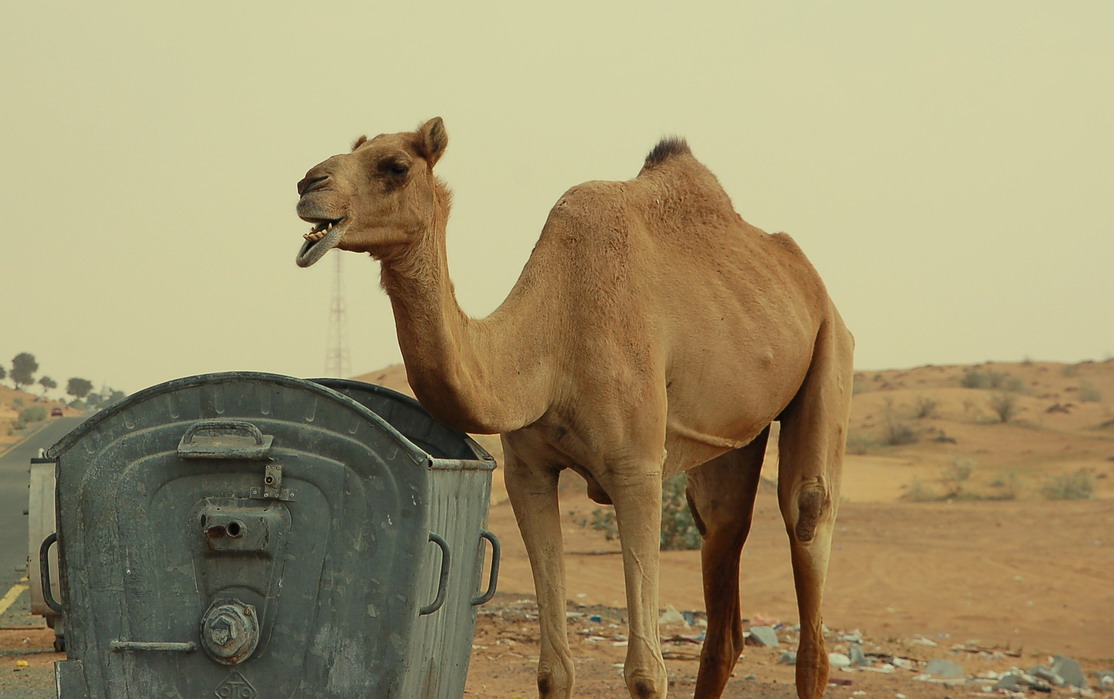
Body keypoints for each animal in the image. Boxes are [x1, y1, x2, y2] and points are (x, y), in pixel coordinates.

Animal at [294, 117, 851, 695]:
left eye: (396, 166)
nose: (308, 185)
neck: (552, 339)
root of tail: (810, 281)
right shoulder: (527, 471)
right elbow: (552, 669)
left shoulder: (637, 469)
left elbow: (647, 673)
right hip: (733, 434)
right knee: (721, 534)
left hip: (832, 349)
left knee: (809, 515)